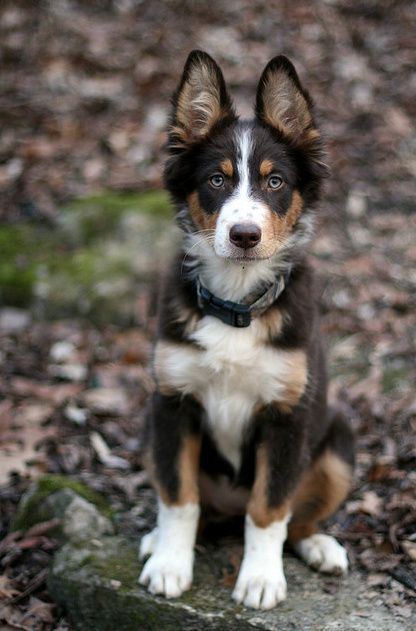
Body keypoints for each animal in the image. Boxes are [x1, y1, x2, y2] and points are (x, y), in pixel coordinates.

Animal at [138, 50, 352, 612]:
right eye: (217, 180)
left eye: (274, 182)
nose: (244, 235)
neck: (236, 304)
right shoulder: (173, 403)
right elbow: (179, 497)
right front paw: (169, 565)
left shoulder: (287, 415)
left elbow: (270, 508)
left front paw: (259, 579)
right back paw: (155, 540)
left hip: (339, 442)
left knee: (297, 517)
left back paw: (320, 547)